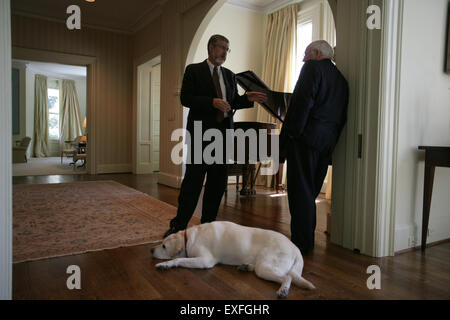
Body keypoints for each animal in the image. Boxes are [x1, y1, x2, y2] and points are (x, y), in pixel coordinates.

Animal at [149, 220, 314, 298]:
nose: (151, 250)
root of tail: (296, 248)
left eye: (164, 246)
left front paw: (165, 264)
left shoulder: (205, 260)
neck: (188, 238)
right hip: (262, 265)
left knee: (287, 277)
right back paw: (245, 266)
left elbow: (179, 260)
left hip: (265, 266)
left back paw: (283, 290)